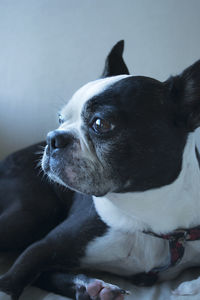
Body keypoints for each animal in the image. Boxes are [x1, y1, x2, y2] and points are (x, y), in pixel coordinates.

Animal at [0, 40, 200, 300]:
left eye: (100, 124)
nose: (53, 138)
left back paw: (92, 288)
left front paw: (188, 286)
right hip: (29, 214)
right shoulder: (41, 248)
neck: (145, 220)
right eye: (60, 119)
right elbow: (11, 279)